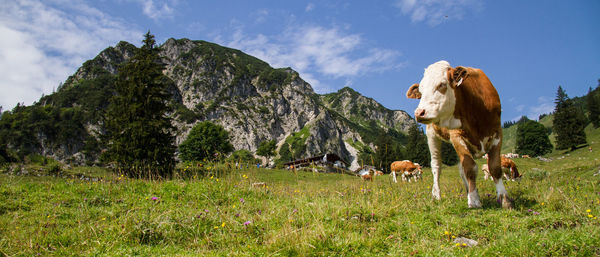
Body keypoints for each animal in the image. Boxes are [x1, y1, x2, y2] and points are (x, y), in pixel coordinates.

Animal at [404, 60, 510, 208]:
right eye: (421, 91)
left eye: (442, 84)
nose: (419, 113)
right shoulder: (456, 136)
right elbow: (470, 168)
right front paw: (474, 200)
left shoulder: (497, 132)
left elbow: (494, 167)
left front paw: (504, 199)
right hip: (432, 135)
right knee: (436, 166)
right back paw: (436, 195)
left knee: (460, 169)